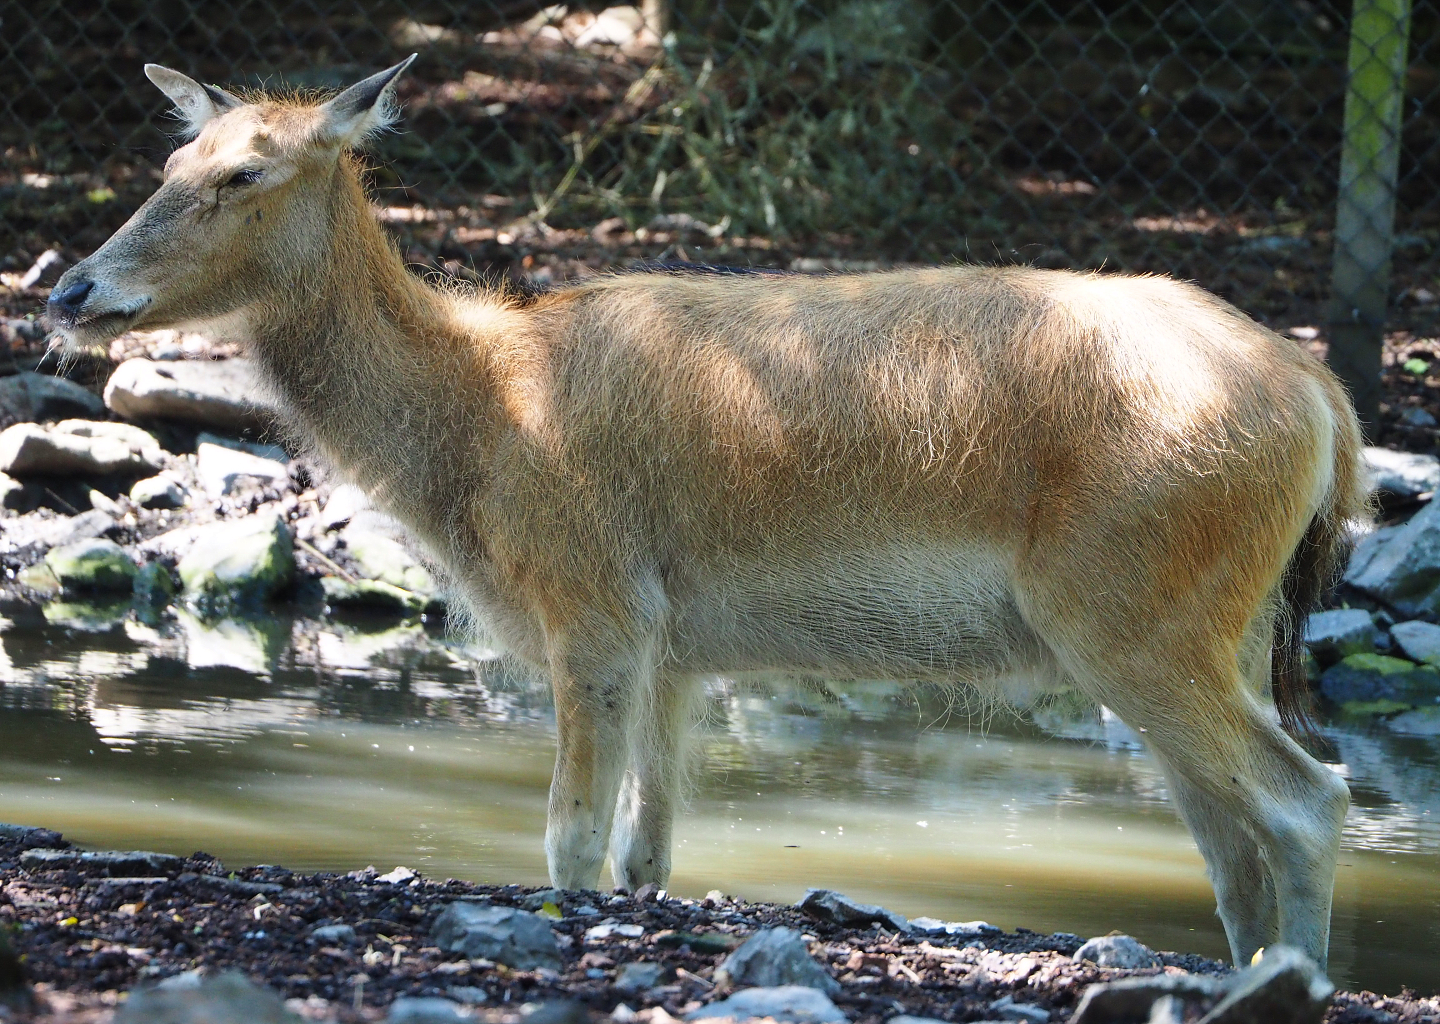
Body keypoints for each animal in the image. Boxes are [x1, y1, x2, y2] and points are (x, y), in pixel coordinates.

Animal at [45, 58, 1367, 970]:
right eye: (169, 165)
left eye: (244, 174)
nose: (68, 290)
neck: (481, 423)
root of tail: (1327, 405)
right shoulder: (676, 646)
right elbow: (648, 851)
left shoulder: (593, 601)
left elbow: (570, 838)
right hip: (1207, 629)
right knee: (1231, 842)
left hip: (1135, 614)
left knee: (1310, 797)